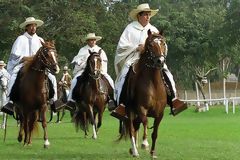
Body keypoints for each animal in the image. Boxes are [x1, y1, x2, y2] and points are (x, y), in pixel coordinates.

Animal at [119, 29, 168, 158]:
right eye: (150, 45)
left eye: (163, 43)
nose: (160, 61)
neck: (154, 85)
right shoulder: (141, 108)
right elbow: (144, 122)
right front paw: (145, 143)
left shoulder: (160, 113)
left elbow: (155, 133)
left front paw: (152, 153)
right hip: (130, 110)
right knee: (131, 128)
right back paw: (135, 151)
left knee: (135, 126)